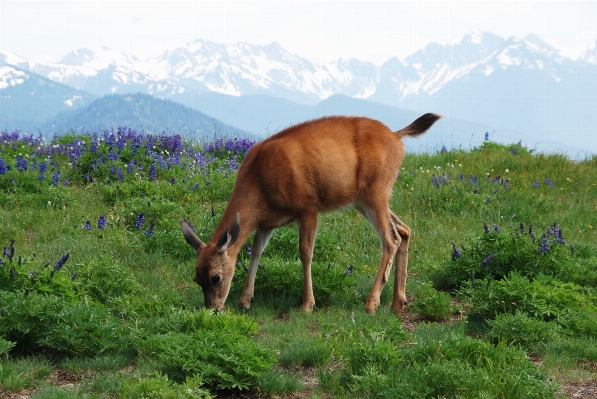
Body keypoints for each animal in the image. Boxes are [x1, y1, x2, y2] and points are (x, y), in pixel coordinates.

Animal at [183, 112, 442, 316]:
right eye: (196, 278)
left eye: (216, 277)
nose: (213, 309)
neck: (260, 185)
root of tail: (397, 137)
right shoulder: (266, 222)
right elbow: (256, 252)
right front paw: (245, 300)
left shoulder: (307, 207)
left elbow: (305, 253)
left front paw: (308, 304)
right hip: (363, 200)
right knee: (404, 229)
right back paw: (398, 303)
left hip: (376, 192)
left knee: (391, 238)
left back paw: (372, 303)